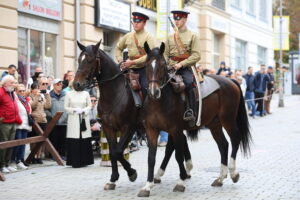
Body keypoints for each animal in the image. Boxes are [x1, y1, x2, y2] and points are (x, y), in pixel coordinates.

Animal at [75, 39, 140, 191]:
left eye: (90, 60)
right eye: (79, 60)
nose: (76, 84)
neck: (115, 93)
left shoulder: (128, 127)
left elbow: (118, 151)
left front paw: (132, 172)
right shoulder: (108, 127)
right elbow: (113, 151)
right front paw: (113, 178)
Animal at [138, 42, 251, 197]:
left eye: (162, 65)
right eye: (147, 65)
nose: (153, 92)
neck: (160, 102)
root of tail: (231, 80)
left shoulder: (175, 130)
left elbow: (177, 155)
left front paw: (181, 181)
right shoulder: (152, 130)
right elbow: (151, 158)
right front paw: (147, 186)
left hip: (228, 120)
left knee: (235, 139)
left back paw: (233, 173)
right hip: (214, 124)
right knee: (223, 145)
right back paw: (220, 178)